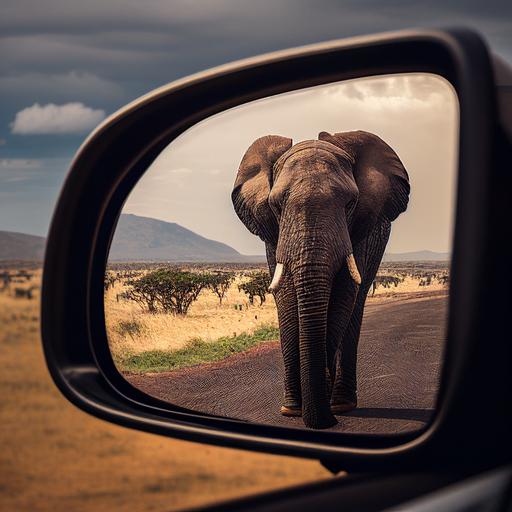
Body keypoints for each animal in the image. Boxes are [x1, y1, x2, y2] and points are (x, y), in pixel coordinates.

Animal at [234, 129, 410, 428]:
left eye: (350, 203)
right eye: (276, 205)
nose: (327, 421)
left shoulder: (359, 232)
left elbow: (344, 295)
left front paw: (320, 399)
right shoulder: (273, 234)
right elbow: (286, 298)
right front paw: (292, 408)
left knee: (356, 305)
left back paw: (341, 404)